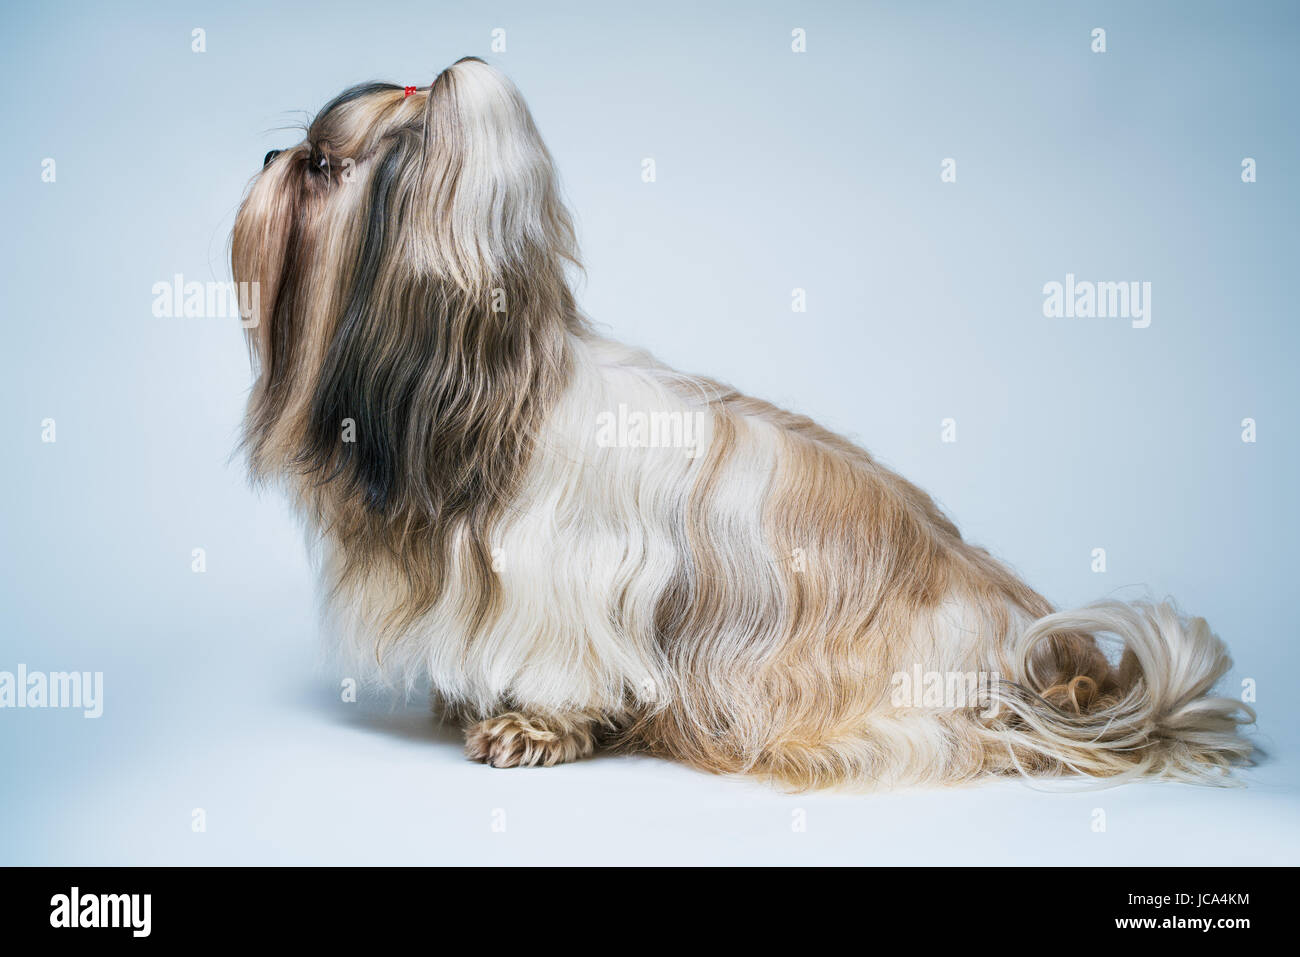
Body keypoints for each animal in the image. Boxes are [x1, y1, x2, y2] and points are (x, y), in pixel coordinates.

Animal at [228, 61, 1253, 790]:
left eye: (322, 166)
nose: (270, 159)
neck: (492, 403)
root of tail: (1049, 654)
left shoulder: (575, 579)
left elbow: (566, 669)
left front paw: (531, 724)